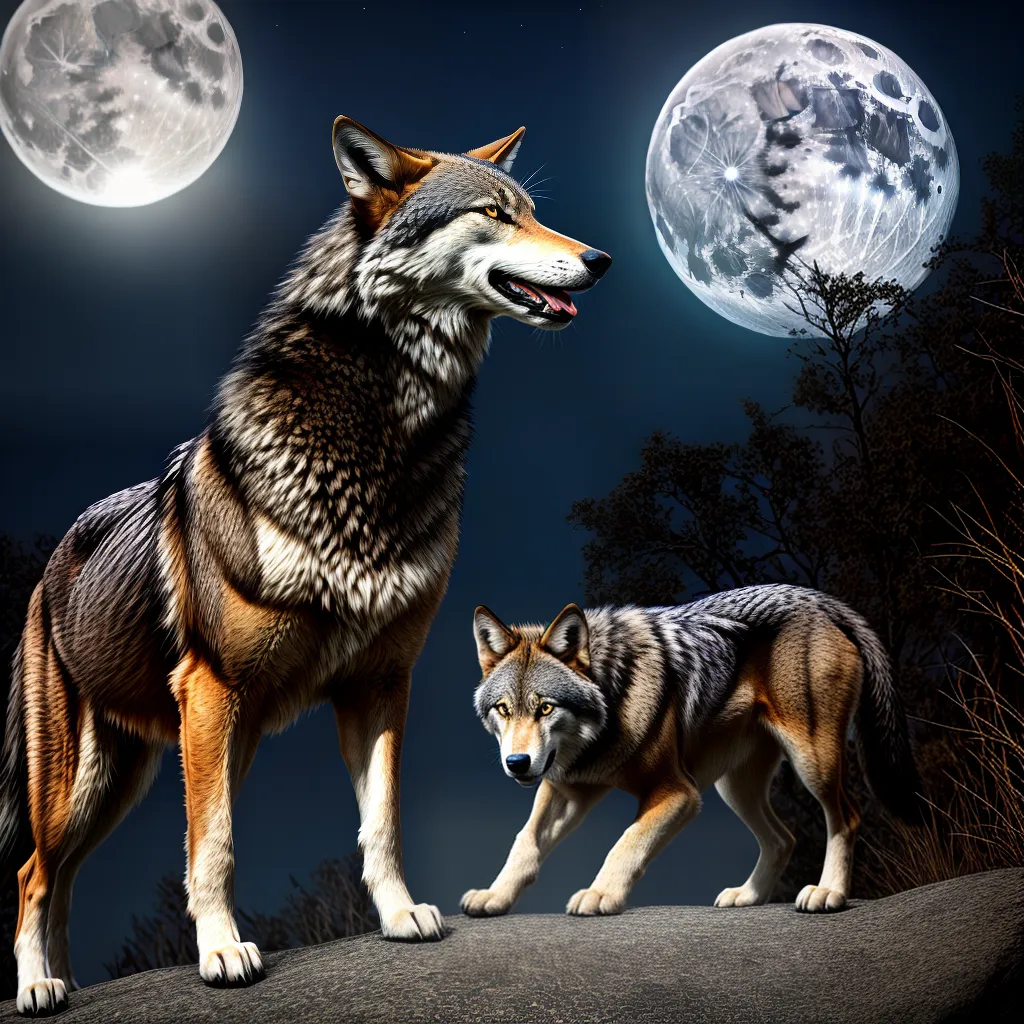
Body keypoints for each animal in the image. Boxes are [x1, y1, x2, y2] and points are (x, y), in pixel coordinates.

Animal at [0, 116, 611, 1016]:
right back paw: (40, 986)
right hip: (88, 779)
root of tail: (50, 567)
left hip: (149, 770)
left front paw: (400, 916)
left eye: (533, 212)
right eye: (496, 214)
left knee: (63, 879)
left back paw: (68, 981)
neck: (382, 432)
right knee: (31, 873)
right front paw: (222, 953)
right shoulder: (213, 691)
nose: (601, 259)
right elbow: (212, 843)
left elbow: (381, 822)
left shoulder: (380, 682)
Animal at [463, 584, 922, 921]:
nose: (517, 763)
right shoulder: (566, 789)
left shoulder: (678, 793)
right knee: (783, 838)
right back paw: (748, 896)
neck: (611, 705)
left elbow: (626, 842)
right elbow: (525, 842)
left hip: (812, 763)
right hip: (734, 788)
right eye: (504, 709)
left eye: (545, 708)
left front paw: (599, 894)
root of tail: (823, 600)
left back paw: (828, 892)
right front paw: (494, 896)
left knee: (848, 815)